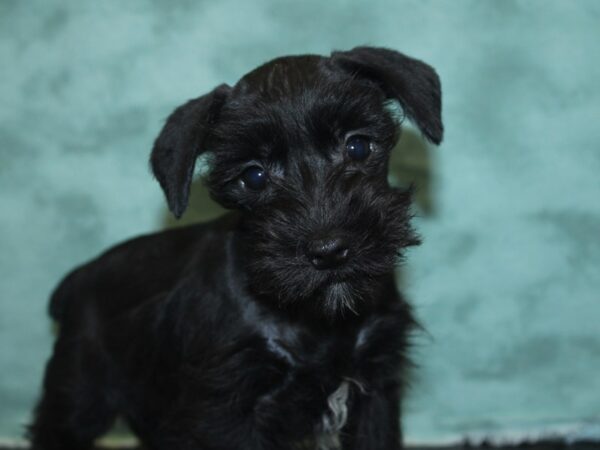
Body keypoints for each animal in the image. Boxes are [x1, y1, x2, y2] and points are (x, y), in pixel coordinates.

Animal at [29, 46, 440, 450]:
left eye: (358, 146)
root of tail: (79, 278)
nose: (329, 250)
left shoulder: (375, 388)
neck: (314, 320)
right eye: (254, 176)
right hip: (79, 398)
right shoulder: (225, 408)